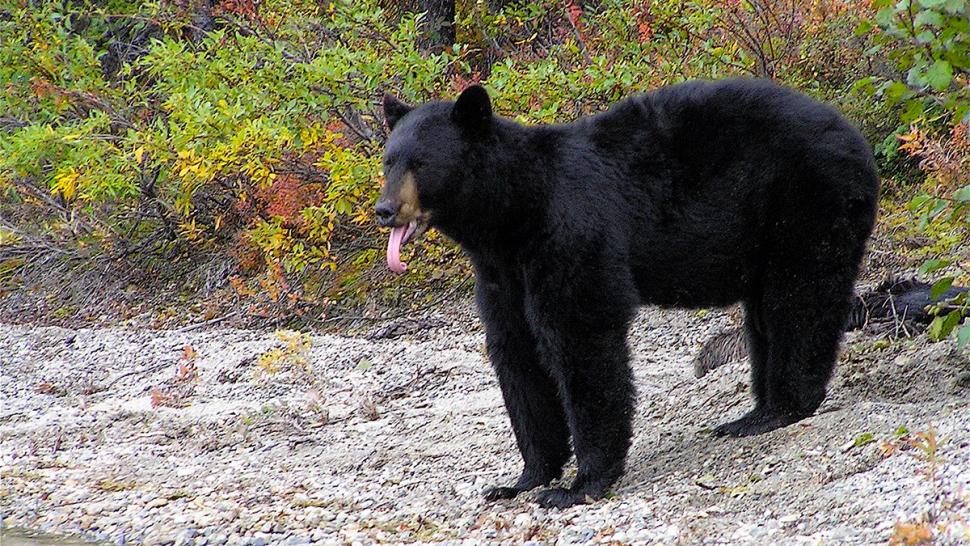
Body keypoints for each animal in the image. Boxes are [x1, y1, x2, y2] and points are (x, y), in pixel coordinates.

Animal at [375, 79, 879, 509]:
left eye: (421, 162)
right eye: (389, 160)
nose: (384, 210)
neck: (511, 216)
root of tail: (855, 137)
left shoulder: (570, 236)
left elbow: (582, 340)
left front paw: (579, 485)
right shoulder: (502, 275)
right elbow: (516, 356)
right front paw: (523, 479)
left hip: (805, 201)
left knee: (799, 298)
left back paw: (784, 407)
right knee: (766, 315)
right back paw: (754, 415)